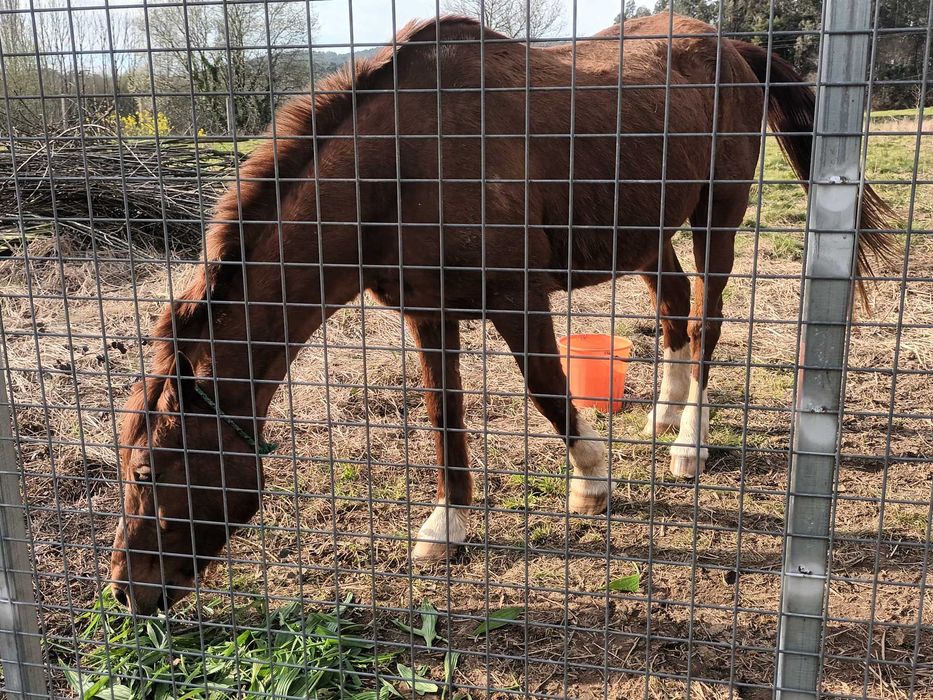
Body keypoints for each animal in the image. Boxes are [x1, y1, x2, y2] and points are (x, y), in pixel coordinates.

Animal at [109, 13, 895, 613]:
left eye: (148, 471)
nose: (126, 591)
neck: (403, 165)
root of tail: (729, 45)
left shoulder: (519, 299)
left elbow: (547, 390)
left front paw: (592, 481)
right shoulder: (428, 314)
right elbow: (443, 416)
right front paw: (447, 525)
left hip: (717, 216)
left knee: (704, 323)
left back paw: (687, 444)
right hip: (644, 231)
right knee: (673, 309)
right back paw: (663, 414)